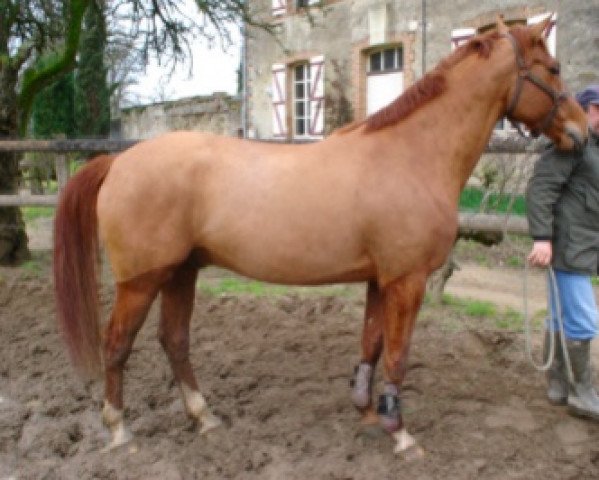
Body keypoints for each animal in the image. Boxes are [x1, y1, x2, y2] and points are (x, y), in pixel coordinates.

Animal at [54, 16, 588, 456]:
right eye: (554, 68)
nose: (582, 132)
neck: (411, 153)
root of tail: (119, 161)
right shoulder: (407, 281)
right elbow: (398, 355)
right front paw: (400, 433)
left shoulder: (379, 280)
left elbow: (371, 345)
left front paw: (368, 412)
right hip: (142, 281)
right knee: (117, 344)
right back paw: (119, 429)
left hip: (182, 272)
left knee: (175, 341)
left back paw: (204, 418)